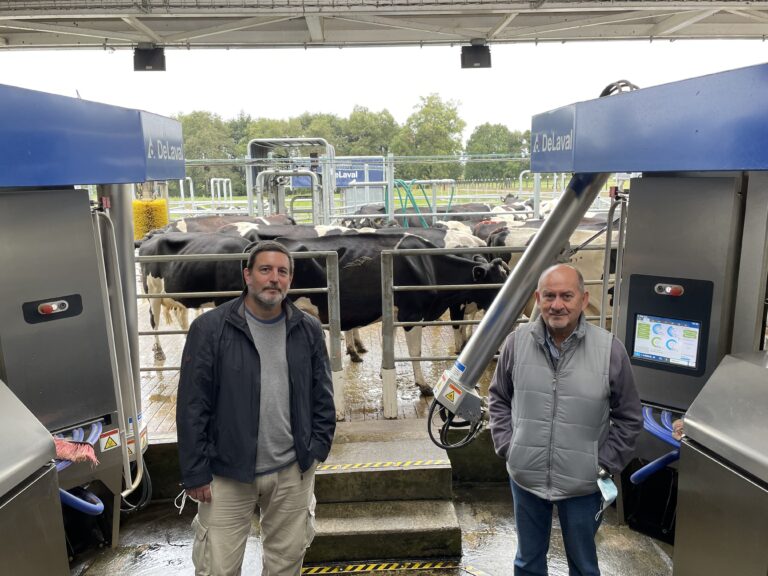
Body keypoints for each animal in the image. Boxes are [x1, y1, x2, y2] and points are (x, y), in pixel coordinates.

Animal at [270, 234, 510, 396]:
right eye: (496, 282)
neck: (429, 266)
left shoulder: (394, 313)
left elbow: (391, 344)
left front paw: (383, 373)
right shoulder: (412, 314)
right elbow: (415, 352)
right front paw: (424, 386)